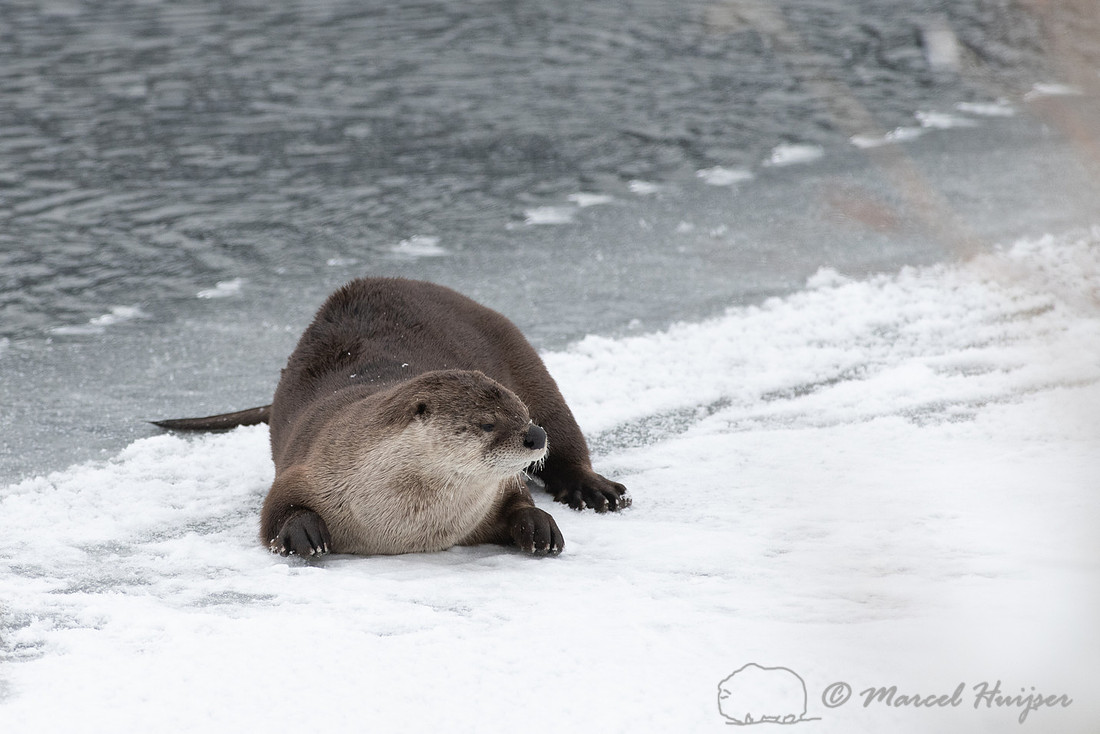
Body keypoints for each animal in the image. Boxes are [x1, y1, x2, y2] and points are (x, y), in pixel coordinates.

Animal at [154, 277, 629, 557]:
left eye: (520, 413)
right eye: (488, 423)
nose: (534, 435)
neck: (409, 525)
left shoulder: (497, 491)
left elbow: (518, 502)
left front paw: (538, 525)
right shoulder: (308, 462)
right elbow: (274, 510)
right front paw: (303, 533)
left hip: (525, 359)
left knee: (567, 435)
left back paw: (596, 490)